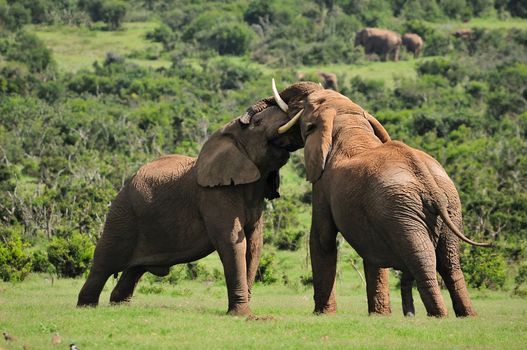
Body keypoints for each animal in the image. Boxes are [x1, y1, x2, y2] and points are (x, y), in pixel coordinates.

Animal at [77, 94, 314, 316]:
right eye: (258, 123)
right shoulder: (213, 195)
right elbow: (232, 242)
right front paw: (242, 315)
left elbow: (254, 244)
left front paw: (246, 311)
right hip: (122, 214)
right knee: (103, 263)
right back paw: (86, 307)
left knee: (134, 270)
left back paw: (119, 306)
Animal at [264, 82, 490, 318]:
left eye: (308, 104)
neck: (348, 122)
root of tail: (429, 185)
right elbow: (372, 252)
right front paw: (379, 315)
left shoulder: (322, 185)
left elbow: (322, 239)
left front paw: (323, 314)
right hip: (448, 206)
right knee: (450, 262)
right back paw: (465, 315)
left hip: (403, 212)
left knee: (424, 262)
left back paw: (438, 316)